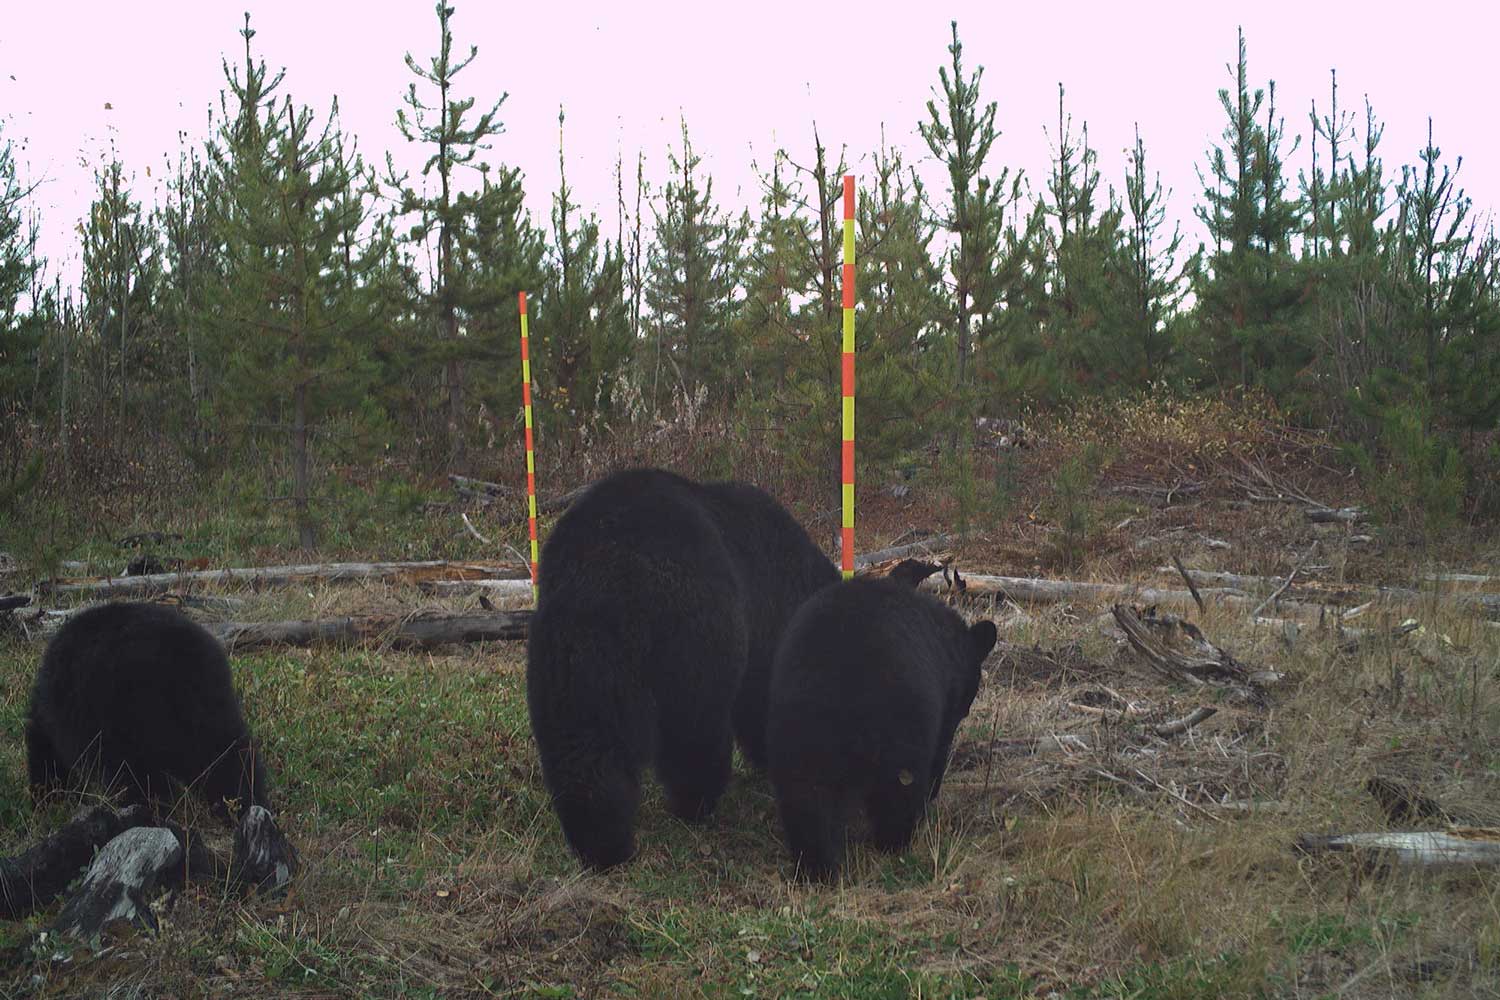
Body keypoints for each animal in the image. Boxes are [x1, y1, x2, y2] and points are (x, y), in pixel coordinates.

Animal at [526, 467, 840, 869]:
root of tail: (607, 575)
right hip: (691, 637)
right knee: (694, 729)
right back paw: (695, 803)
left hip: (568, 653)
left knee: (582, 743)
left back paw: (600, 842)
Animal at [767, 577, 997, 881]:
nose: (967, 709)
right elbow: (938, 752)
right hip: (900, 725)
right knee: (900, 785)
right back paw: (895, 843)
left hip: (795, 730)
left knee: (804, 798)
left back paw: (816, 868)